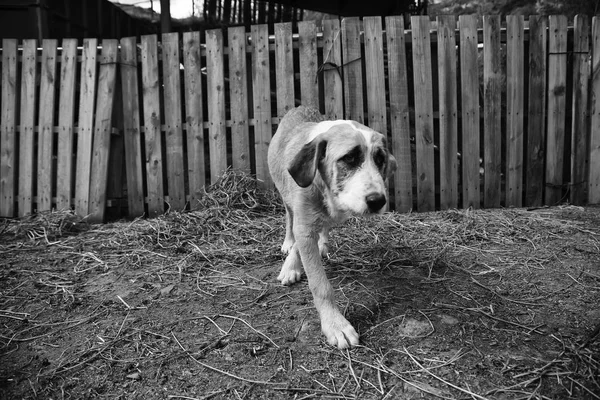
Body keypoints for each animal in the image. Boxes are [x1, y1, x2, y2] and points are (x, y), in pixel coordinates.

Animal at [270, 105, 396, 346]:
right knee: (289, 217)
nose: (378, 201)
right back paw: (289, 243)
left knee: (324, 225)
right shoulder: (303, 224)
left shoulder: (312, 224)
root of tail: (300, 107)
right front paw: (335, 324)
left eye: (380, 159)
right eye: (349, 158)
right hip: (283, 192)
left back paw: (321, 243)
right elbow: (320, 284)